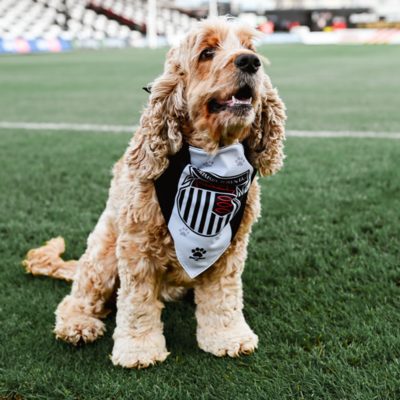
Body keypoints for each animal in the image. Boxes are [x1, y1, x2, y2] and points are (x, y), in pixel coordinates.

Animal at [23, 17, 286, 370]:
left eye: (250, 47)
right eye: (207, 52)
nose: (250, 61)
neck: (213, 161)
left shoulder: (230, 248)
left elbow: (223, 297)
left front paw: (227, 337)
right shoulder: (136, 248)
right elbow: (136, 305)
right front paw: (139, 349)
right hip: (103, 259)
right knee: (77, 299)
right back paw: (78, 325)